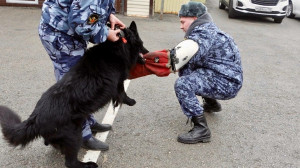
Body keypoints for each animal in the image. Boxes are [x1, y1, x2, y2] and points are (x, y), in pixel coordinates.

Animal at [0, 21, 148, 168]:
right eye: (141, 44)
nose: (147, 53)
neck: (119, 45)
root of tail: (36, 117)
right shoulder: (118, 82)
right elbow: (122, 93)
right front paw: (130, 101)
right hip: (74, 135)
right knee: (70, 162)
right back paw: (88, 164)